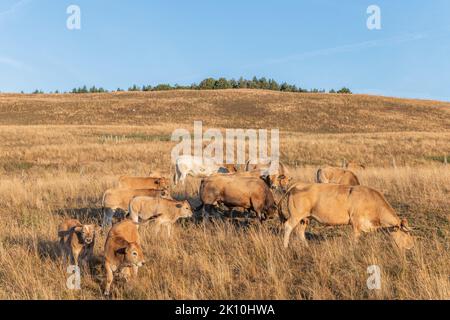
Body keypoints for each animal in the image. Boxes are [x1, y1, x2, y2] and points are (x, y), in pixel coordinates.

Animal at [278, 182, 414, 250]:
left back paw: (307, 247)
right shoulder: (356, 222)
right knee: (288, 226)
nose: (411, 246)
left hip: (305, 218)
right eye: (406, 233)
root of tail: (297, 184)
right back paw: (285, 246)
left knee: (300, 232)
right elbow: (356, 237)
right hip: (296, 216)